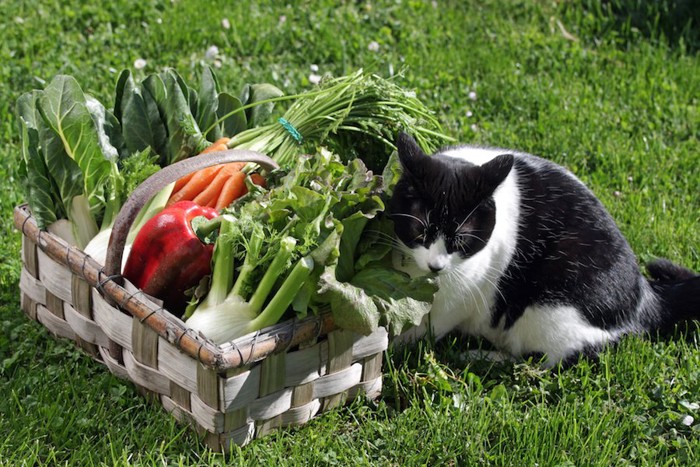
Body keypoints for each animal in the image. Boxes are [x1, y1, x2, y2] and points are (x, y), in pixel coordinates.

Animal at [392, 131, 700, 366]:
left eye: (461, 240)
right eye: (420, 231)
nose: (436, 266)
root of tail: (645, 295)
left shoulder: (462, 293)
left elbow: (427, 327)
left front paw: (397, 347)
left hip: (549, 309)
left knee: (545, 360)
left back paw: (482, 357)